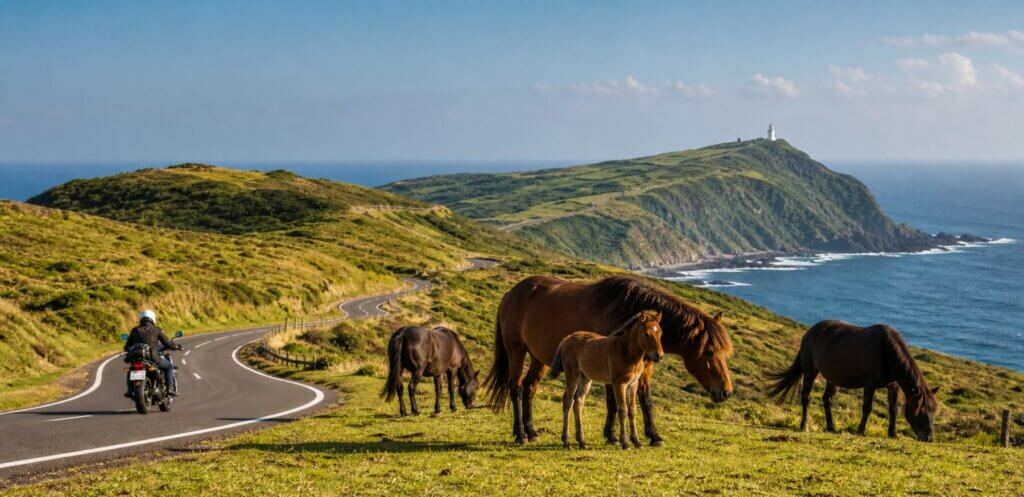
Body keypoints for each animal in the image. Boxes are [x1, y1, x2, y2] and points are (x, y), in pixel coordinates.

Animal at [548, 310, 665, 450]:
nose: (659, 356)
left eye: (660, 333)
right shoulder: (619, 383)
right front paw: (625, 442)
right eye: (646, 334)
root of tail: (566, 339)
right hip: (572, 374)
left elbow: (632, 410)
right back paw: (566, 441)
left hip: (585, 378)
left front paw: (636, 441)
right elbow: (622, 409)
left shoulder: (633, 384)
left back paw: (582, 442)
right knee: (568, 401)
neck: (625, 351)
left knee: (578, 401)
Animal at [766, 320, 940, 441]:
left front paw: (893, 433)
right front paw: (860, 431)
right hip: (810, 371)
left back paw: (831, 427)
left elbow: (893, 410)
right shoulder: (870, 384)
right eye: (921, 410)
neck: (886, 350)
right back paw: (804, 426)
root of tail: (808, 333)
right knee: (806, 397)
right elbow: (867, 408)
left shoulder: (893, 386)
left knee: (827, 399)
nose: (929, 438)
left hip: (832, 378)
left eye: (932, 411)